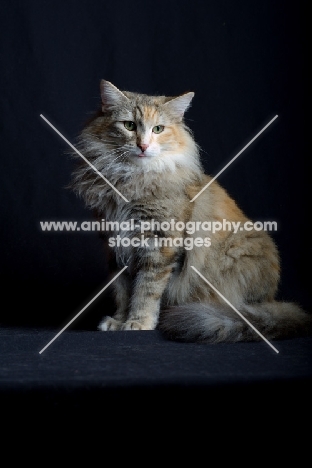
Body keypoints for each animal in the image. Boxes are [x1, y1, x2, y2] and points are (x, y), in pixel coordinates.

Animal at [70, 79, 312, 344]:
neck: (132, 180)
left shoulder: (159, 244)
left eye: (158, 129)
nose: (143, 145)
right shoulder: (116, 244)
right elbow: (123, 291)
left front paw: (138, 322)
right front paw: (119, 320)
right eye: (129, 125)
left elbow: (145, 291)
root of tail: (269, 301)